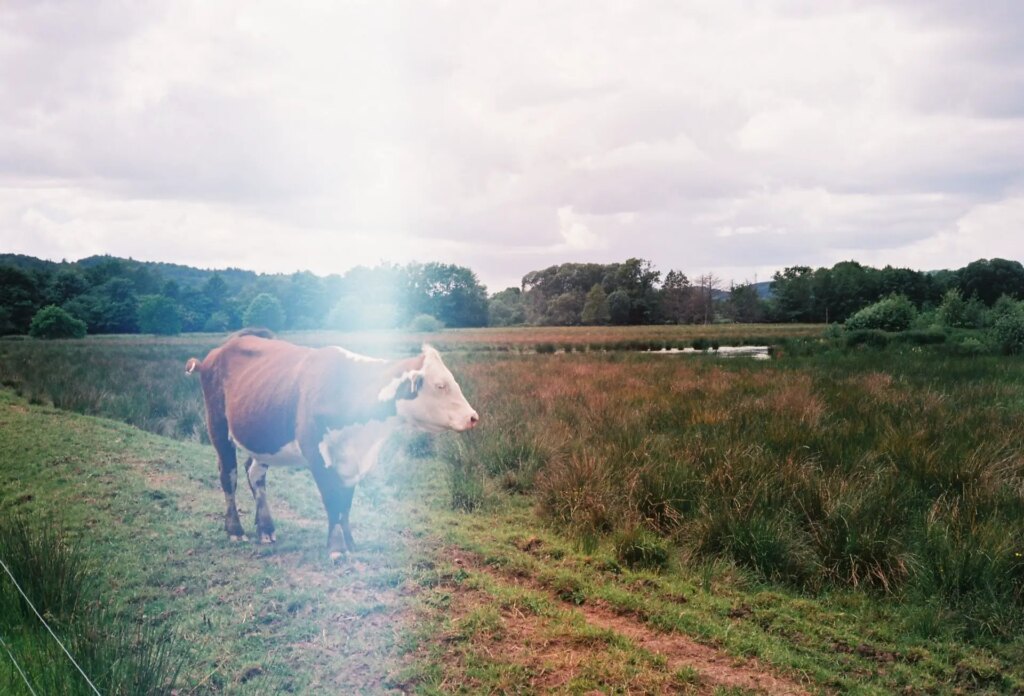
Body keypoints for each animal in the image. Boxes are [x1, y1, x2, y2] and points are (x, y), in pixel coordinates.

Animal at [186, 329, 477, 560]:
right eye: (440, 385)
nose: (473, 417)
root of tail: (220, 349)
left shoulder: (351, 459)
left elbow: (345, 503)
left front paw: (351, 543)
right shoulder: (317, 455)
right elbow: (331, 499)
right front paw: (336, 548)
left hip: (264, 436)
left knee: (255, 474)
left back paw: (266, 529)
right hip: (217, 428)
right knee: (229, 477)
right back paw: (235, 530)